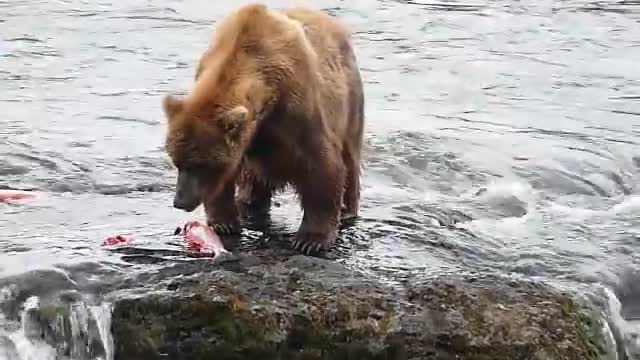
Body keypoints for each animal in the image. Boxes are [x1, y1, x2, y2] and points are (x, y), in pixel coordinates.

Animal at [162, 4, 362, 255]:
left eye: (199, 164)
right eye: (176, 162)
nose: (180, 201)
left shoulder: (298, 109)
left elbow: (322, 167)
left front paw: (310, 239)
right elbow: (227, 177)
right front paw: (224, 222)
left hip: (350, 101)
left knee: (350, 158)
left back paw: (347, 210)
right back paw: (249, 202)